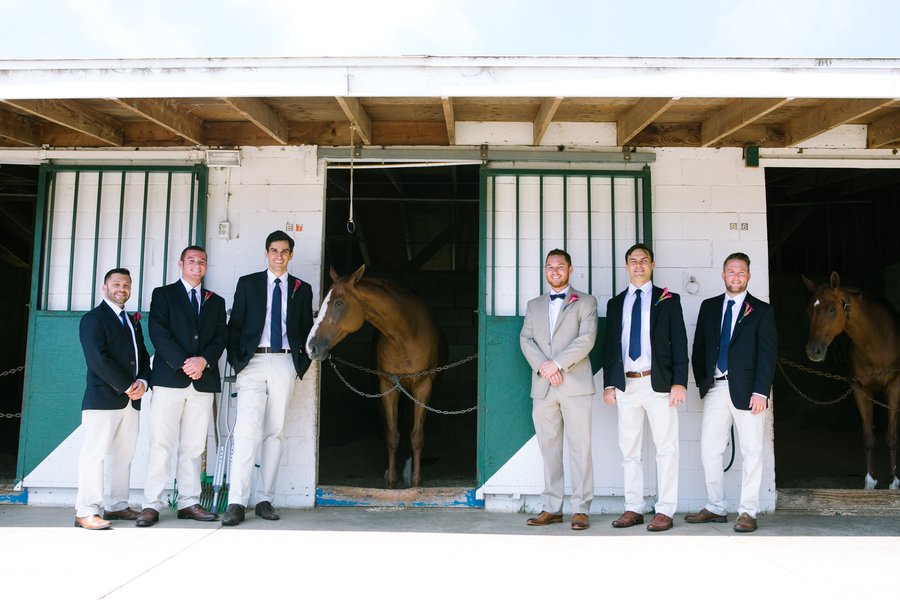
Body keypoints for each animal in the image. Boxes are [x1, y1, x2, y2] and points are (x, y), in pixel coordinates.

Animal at [304, 266, 442, 488]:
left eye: (338, 303)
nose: (311, 347)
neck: (406, 336)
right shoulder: (387, 385)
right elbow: (391, 435)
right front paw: (391, 482)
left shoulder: (423, 386)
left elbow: (417, 436)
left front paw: (415, 483)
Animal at [800, 274, 900, 490]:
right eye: (809, 310)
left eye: (832, 309)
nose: (813, 350)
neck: (877, 342)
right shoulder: (860, 390)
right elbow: (868, 436)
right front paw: (870, 481)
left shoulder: (895, 389)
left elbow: (892, 436)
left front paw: (894, 482)